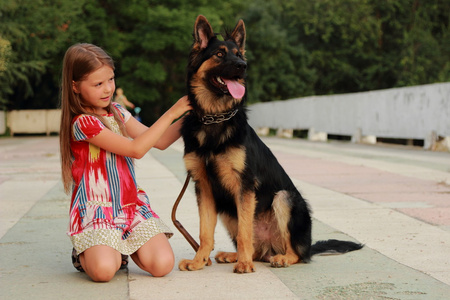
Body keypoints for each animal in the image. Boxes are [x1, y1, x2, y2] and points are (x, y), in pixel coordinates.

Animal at [179, 16, 362, 274]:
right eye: (220, 54)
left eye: (238, 54)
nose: (243, 66)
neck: (214, 118)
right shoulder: (204, 187)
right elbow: (205, 232)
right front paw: (198, 261)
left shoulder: (244, 185)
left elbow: (245, 232)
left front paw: (244, 265)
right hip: (227, 209)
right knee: (257, 249)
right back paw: (234, 255)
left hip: (284, 198)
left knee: (296, 253)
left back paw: (277, 258)